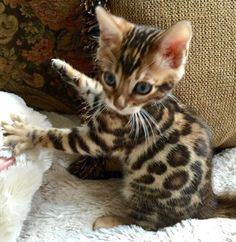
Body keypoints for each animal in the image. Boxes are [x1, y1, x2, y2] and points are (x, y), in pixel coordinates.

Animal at [0, 7, 235, 231]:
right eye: (110, 78)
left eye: (143, 88)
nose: (120, 103)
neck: (142, 108)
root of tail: (207, 204)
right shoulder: (103, 100)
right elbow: (91, 86)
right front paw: (62, 67)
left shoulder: (99, 139)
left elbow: (55, 136)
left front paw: (24, 133)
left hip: (143, 192)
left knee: (149, 224)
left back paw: (109, 221)